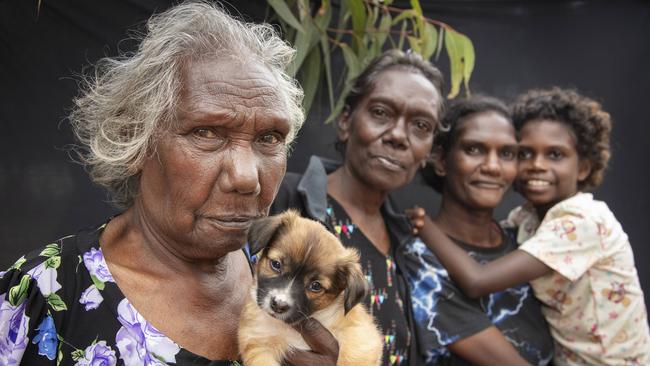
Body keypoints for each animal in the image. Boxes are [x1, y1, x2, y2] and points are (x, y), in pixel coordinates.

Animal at [237, 210, 380, 366]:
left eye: (315, 286)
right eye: (276, 264)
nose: (279, 305)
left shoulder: (360, 333)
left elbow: (352, 357)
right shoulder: (258, 344)